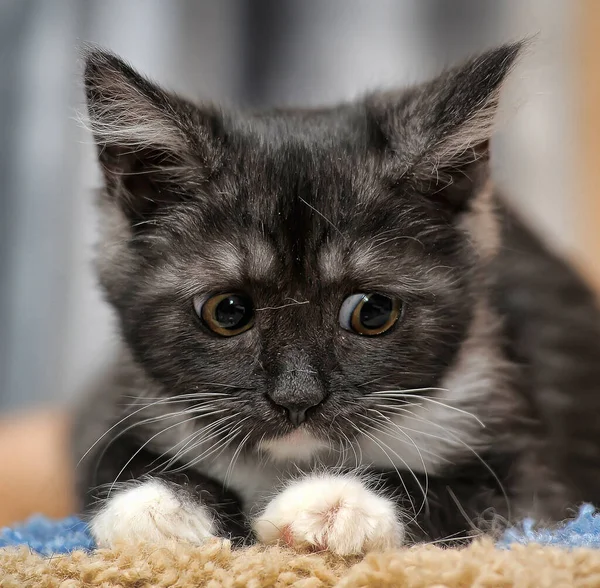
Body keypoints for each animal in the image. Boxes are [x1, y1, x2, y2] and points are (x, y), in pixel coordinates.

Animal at [75, 42, 600, 556]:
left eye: (373, 312)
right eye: (227, 311)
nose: (297, 398)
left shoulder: (531, 466)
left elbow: (481, 495)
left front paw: (338, 503)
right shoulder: (117, 397)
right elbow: (111, 455)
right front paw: (159, 504)